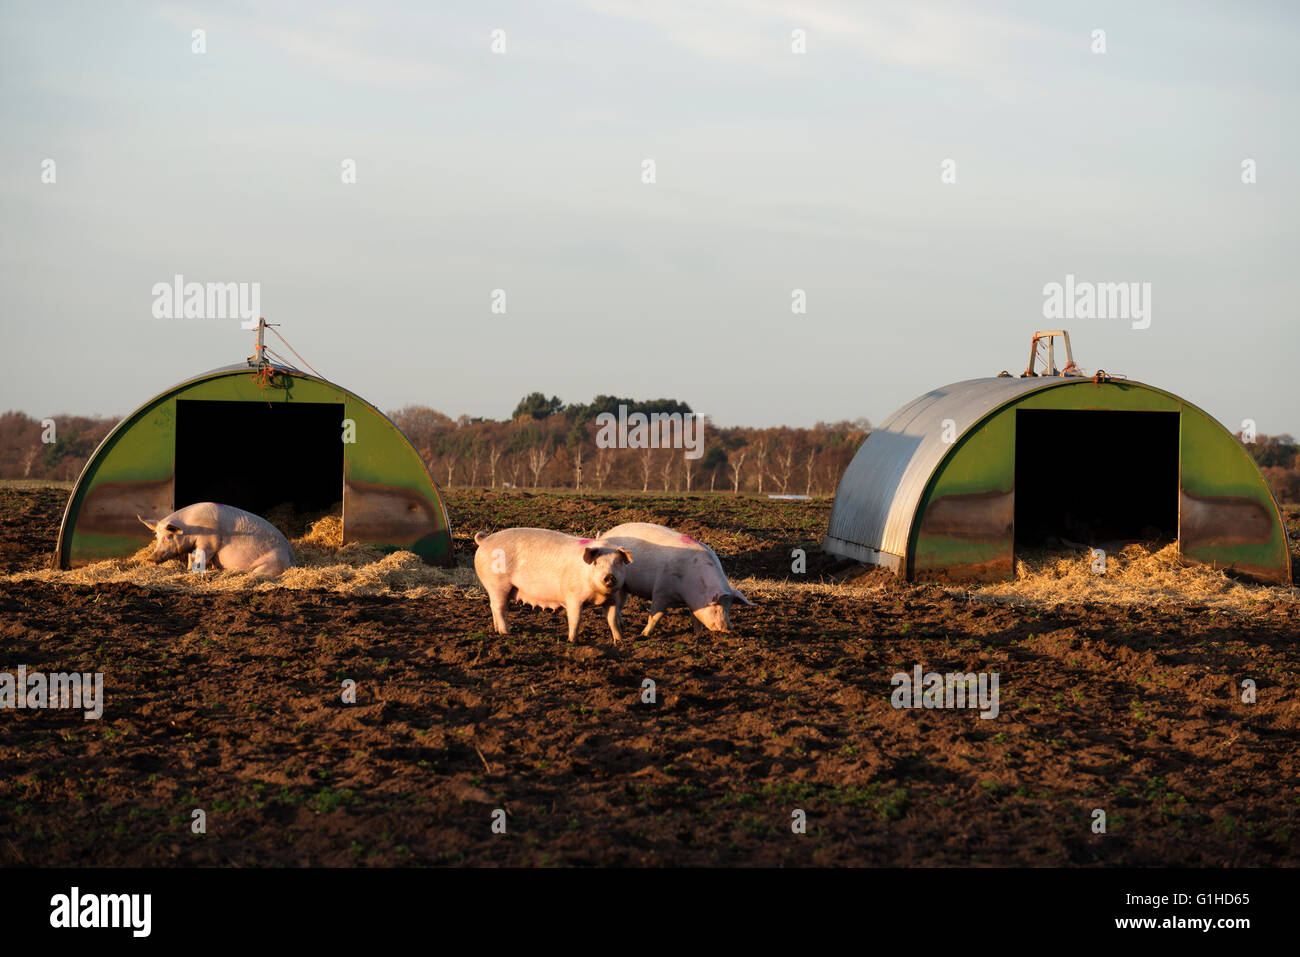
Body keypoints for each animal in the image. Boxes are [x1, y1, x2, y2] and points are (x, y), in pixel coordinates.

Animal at [139, 501, 297, 574]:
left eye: (169, 536)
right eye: (157, 536)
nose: (150, 559)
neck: (192, 528)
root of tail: (292, 558)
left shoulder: (209, 542)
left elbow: (201, 557)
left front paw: (195, 570)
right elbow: (191, 558)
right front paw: (188, 568)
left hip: (273, 561)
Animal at [473, 527, 634, 647]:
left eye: (618, 563)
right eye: (597, 563)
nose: (609, 576)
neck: (598, 596)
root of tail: (485, 540)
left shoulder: (612, 599)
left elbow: (612, 619)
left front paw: (619, 640)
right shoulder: (573, 597)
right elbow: (575, 619)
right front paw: (572, 641)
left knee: (494, 606)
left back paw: (497, 630)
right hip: (497, 583)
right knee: (498, 607)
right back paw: (506, 632)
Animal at [598, 522, 754, 634]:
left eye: (729, 607)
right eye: (716, 607)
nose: (728, 629)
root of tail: (604, 535)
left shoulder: (693, 601)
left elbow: (695, 618)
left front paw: (697, 635)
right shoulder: (661, 591)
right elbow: (656, 616)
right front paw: (644, 634)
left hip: (624, 586)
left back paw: (623, 625)